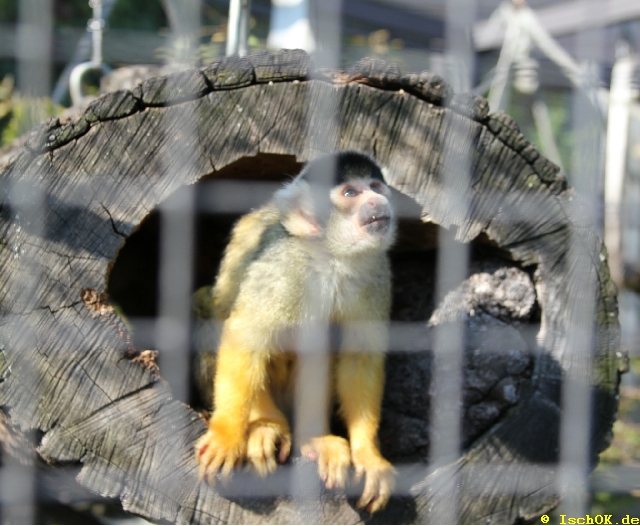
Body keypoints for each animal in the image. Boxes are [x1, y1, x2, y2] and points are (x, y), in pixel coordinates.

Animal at [195, 151, 396, 512]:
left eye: (375, 186)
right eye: (351, 193)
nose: (377, 201)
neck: (332, 257)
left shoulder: (376, 271)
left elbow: (360, 357)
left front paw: (368, 454)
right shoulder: (284, 263)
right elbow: (245, 333)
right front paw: (228, 435)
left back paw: (312, 438)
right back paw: (267, 424)